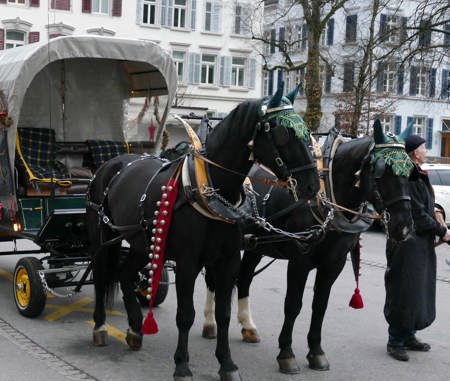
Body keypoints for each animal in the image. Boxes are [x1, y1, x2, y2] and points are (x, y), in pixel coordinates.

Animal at [85, 82, 320, 380]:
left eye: (306, 131)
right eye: (282, 133)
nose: (313, 185)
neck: (211, 189)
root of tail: (114, 163)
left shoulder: (228, 260)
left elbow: (224, 314)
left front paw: (227, 364)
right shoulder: (188, 263)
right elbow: (186, 314)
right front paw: (182, 365)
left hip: (140, 241)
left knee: (126, 274)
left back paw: (136, 328)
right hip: (103, 237)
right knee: (102, 275)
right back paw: (100, 327)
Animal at [202, 122, 414, 374]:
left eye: (410, 171)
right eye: (381, 171)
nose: (404, 227)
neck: (327, 197)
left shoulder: (333, 264)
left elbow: (320, 306)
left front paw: (316, 352)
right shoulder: (299, 262)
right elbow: (293, 305)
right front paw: (286, 354)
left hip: (255, 246)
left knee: (244, 279)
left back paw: (248, 326)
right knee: (214, 280)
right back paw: (209, 323)